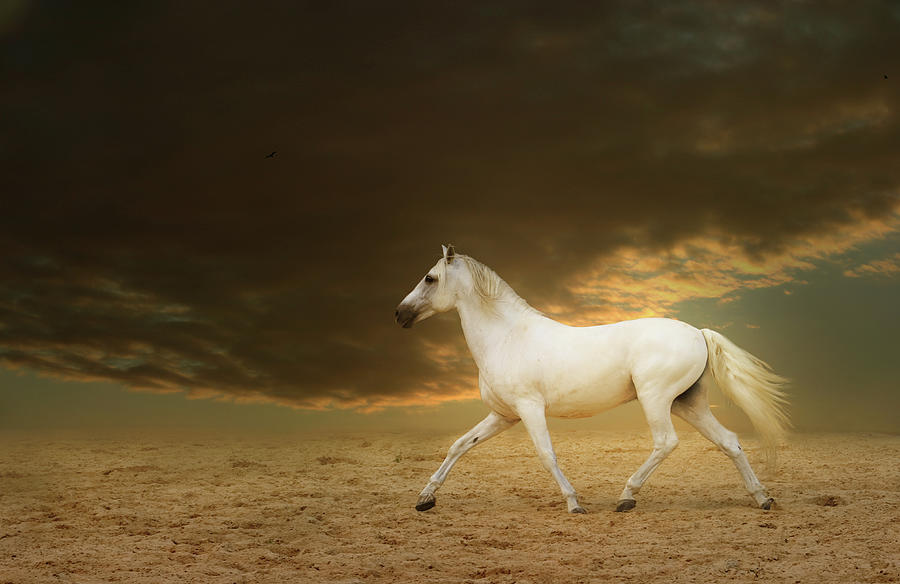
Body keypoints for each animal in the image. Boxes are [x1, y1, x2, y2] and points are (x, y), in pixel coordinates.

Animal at [394, 244, 788, 512]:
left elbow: (546, 454)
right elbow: (460, 445)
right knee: (729, 441)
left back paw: (626, 497)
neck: (507, 336)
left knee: (666, 442)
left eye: (430, 278)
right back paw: (762, 498)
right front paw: (425, 498)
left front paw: (574, 503)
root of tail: (698, 332)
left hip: (657, 399)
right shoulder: (503, 415)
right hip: (687, 402)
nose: (399, 314)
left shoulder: (529, 408)